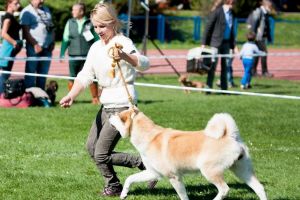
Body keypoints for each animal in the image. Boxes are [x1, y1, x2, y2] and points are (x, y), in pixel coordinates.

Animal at [110, 108, 268, 200]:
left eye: (118, 115)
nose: (110, 113)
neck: (150, 137)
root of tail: (230, 135)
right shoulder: (153, 173)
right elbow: (130, 178)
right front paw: (123, 194)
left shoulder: (174, 177)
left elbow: (183, 195)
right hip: (242, 171)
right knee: (259, 188)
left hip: (209, 171)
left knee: (224, 189)